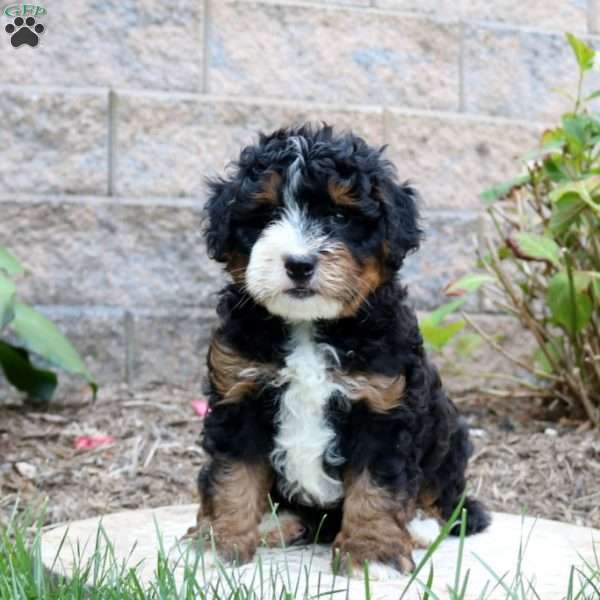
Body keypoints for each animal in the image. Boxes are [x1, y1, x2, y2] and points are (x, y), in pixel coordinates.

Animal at [190, 122, 490, 576]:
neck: (308, 325)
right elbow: (233, 474)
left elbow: (376, 486)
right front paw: (219, 542)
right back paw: (276, 523)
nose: (298, 263)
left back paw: (421, 526)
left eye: (339, 217)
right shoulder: (238, 395)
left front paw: (372, 555)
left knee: (448, 499)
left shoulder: (382, 405)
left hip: (448, 433)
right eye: (266, 217)